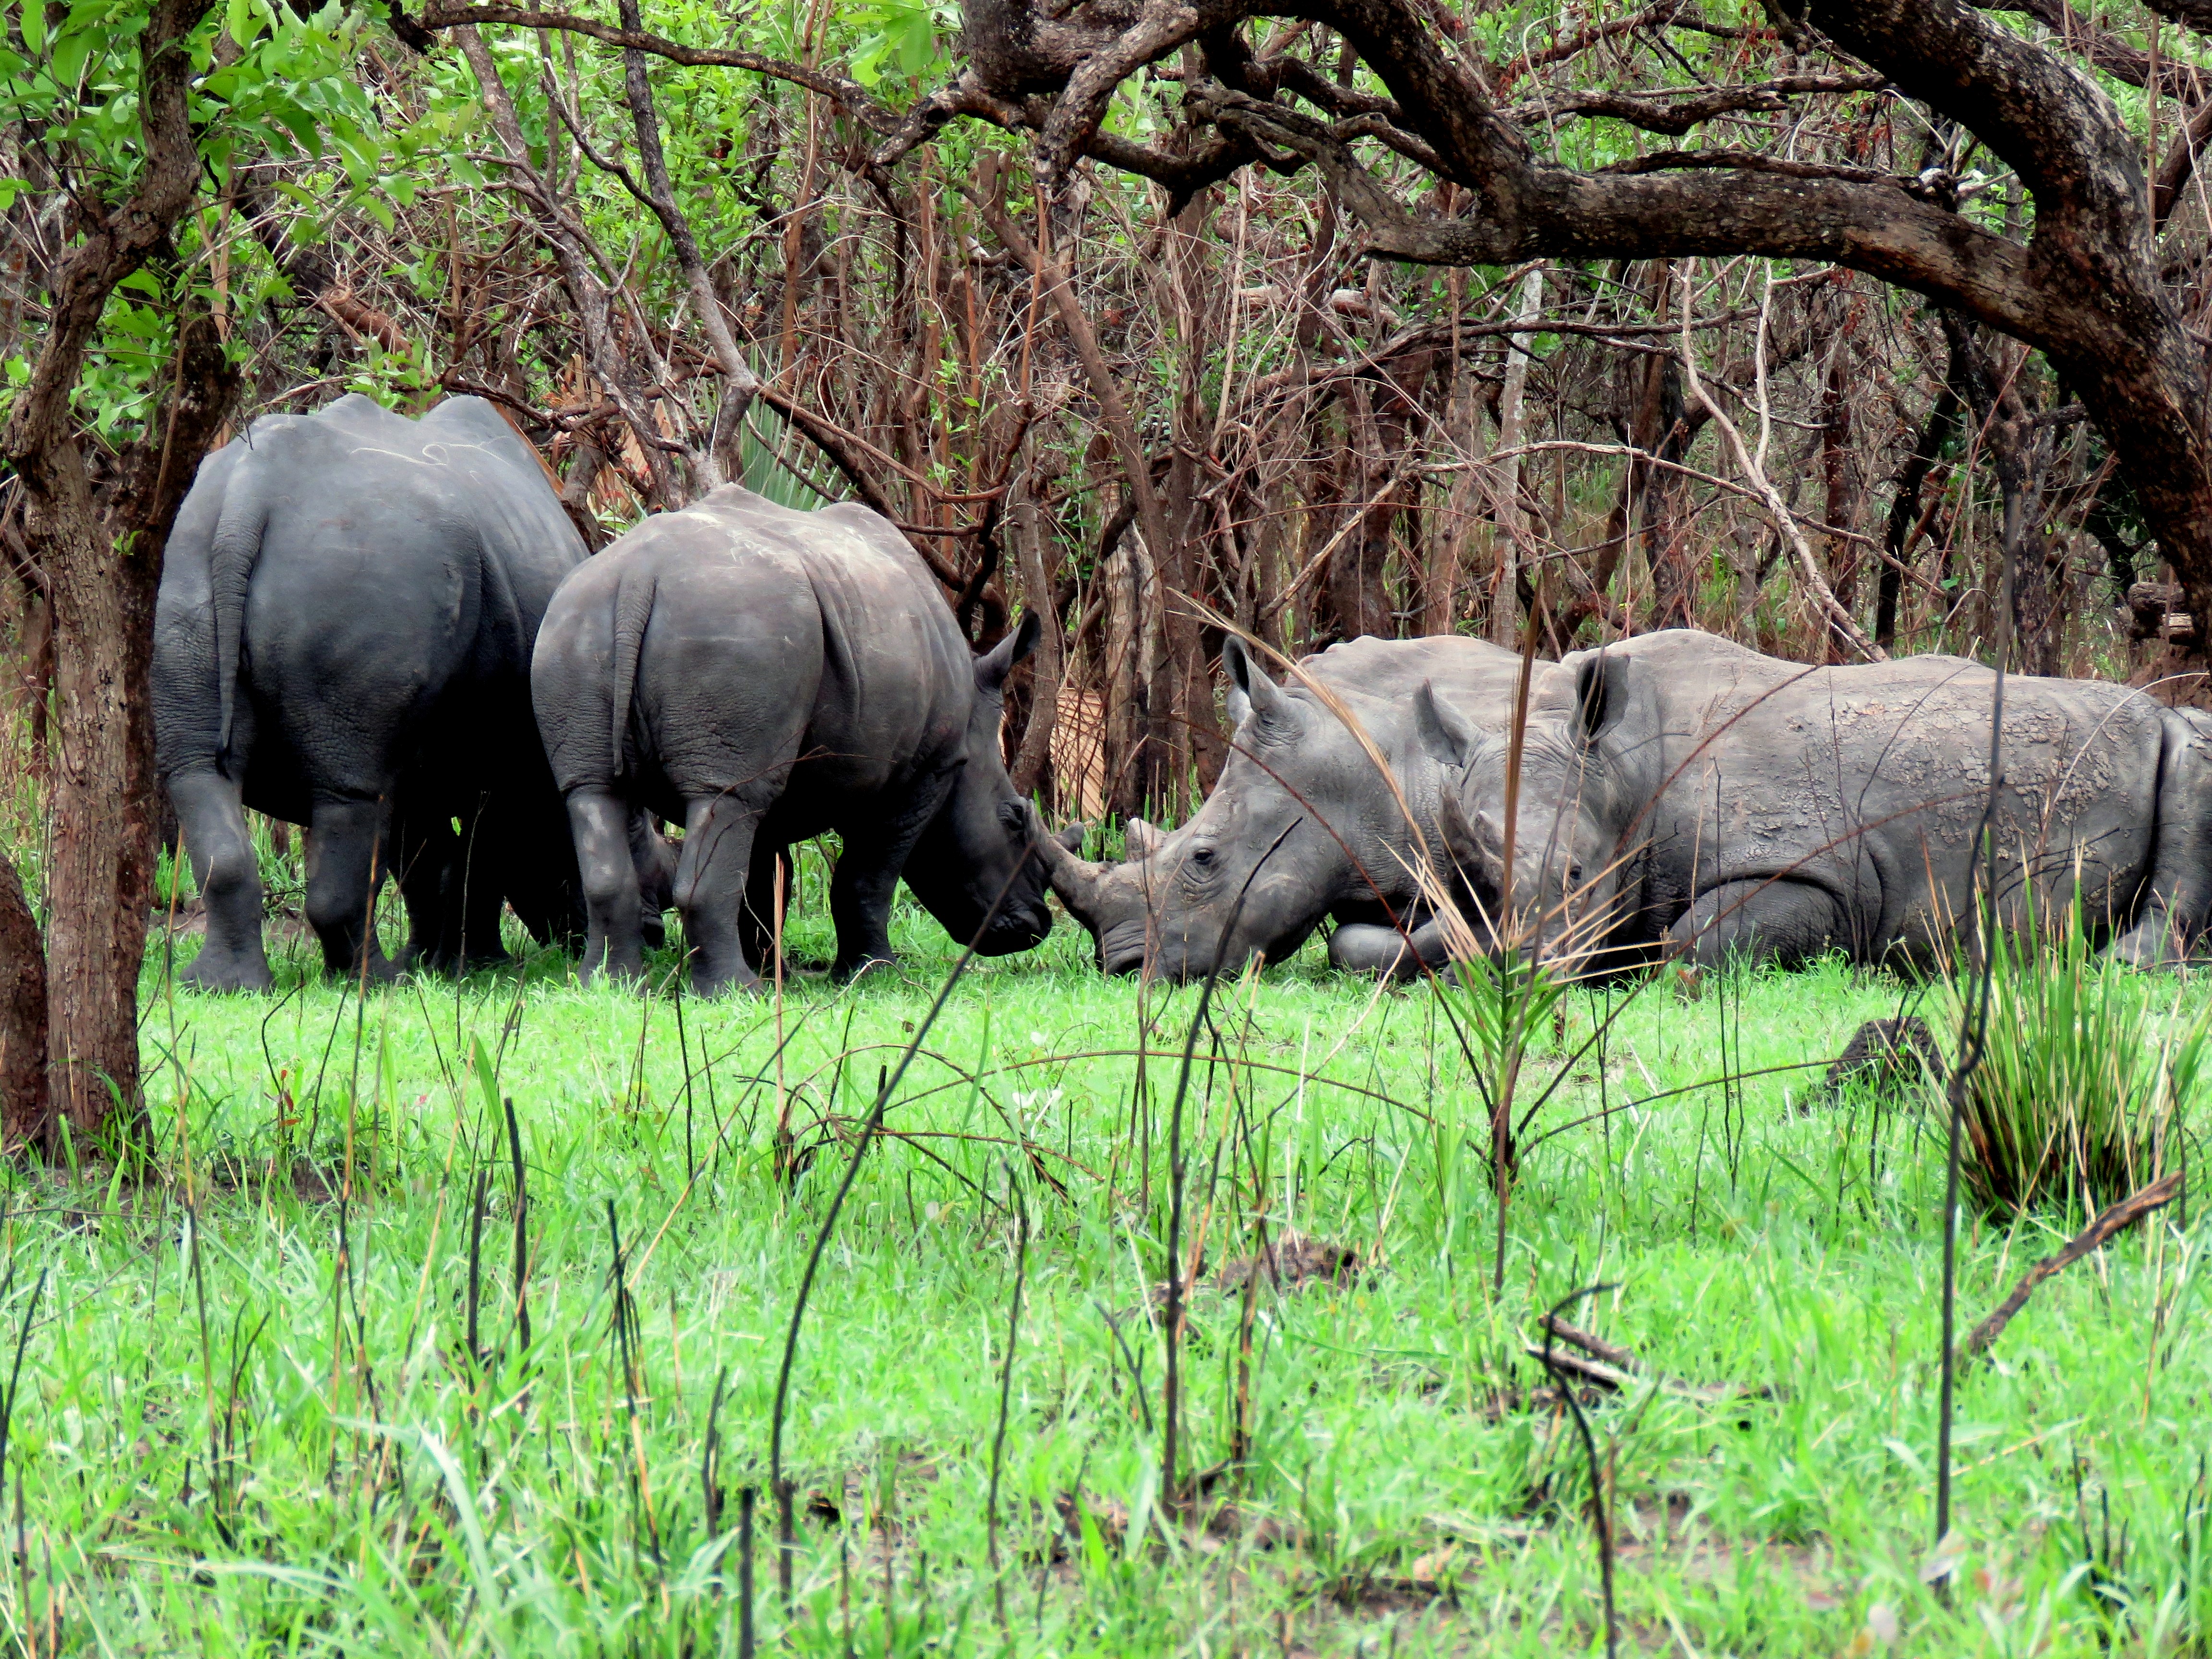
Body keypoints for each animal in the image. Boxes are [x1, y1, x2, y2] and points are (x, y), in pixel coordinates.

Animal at [151, 396, 610, 986]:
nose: (576, 937)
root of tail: (245, 497)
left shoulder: (427, 759)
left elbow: (425, 859)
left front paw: (436, 964)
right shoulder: (505, 753)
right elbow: (477, 856)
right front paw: (477, 966)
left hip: (186, 571)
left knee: (203, 774)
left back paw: (222, 986)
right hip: (364, 564)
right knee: (354, 793)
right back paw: (375, 981)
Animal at [530, 486, 1057, 995]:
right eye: (1014, 820)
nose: (1037, 927)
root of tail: (639, 577)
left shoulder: (772, 759)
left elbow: (762, 877)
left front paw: (775, 970)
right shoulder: (925, 772)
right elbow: (866, 879)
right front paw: (873, 974)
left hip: (574, 628)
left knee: (595, 792)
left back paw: (609, 987)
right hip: (737, 630)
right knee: (717, 798)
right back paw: (734, 994)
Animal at [1424, 632, 2212, 982]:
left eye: (1576, 874)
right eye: (1475, 884)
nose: (1511, 977)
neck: (1620, 768)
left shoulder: (1818, 871)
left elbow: (1690, 945)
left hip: (2175, 733)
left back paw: (2113, 967)